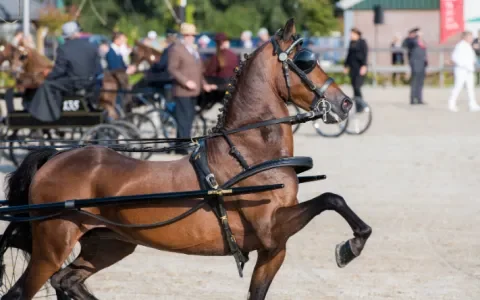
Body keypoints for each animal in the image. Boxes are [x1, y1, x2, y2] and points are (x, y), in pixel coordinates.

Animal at [1, 18, 374, 300]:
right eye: (306, 60)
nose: (345, 103)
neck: (250, 155)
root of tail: (55, 159)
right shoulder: (273, 230)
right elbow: (331, 198)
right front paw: (352, 244)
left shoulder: (272, 250)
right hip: (51, 247)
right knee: (24, 291)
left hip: (109, 243)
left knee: (67, 281)